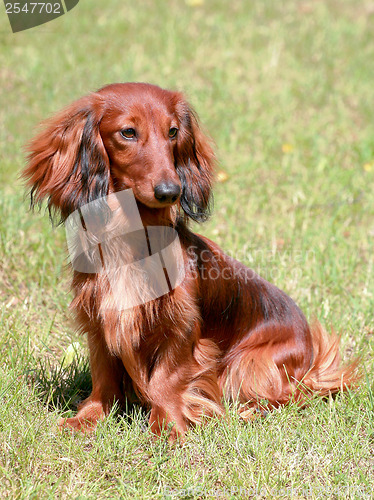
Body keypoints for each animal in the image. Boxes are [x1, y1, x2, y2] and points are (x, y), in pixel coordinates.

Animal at [22, 84, 356, 440]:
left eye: (172, 132)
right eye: (128, 132)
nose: (171, 190)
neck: (131, 240)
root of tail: (311, 354)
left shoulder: (181, 326)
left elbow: (165, 379)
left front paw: (168, 426)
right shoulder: (99, 322)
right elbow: (104, 377)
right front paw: (87, 417)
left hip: (250, 364)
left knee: (287, 396)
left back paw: (247, 413)